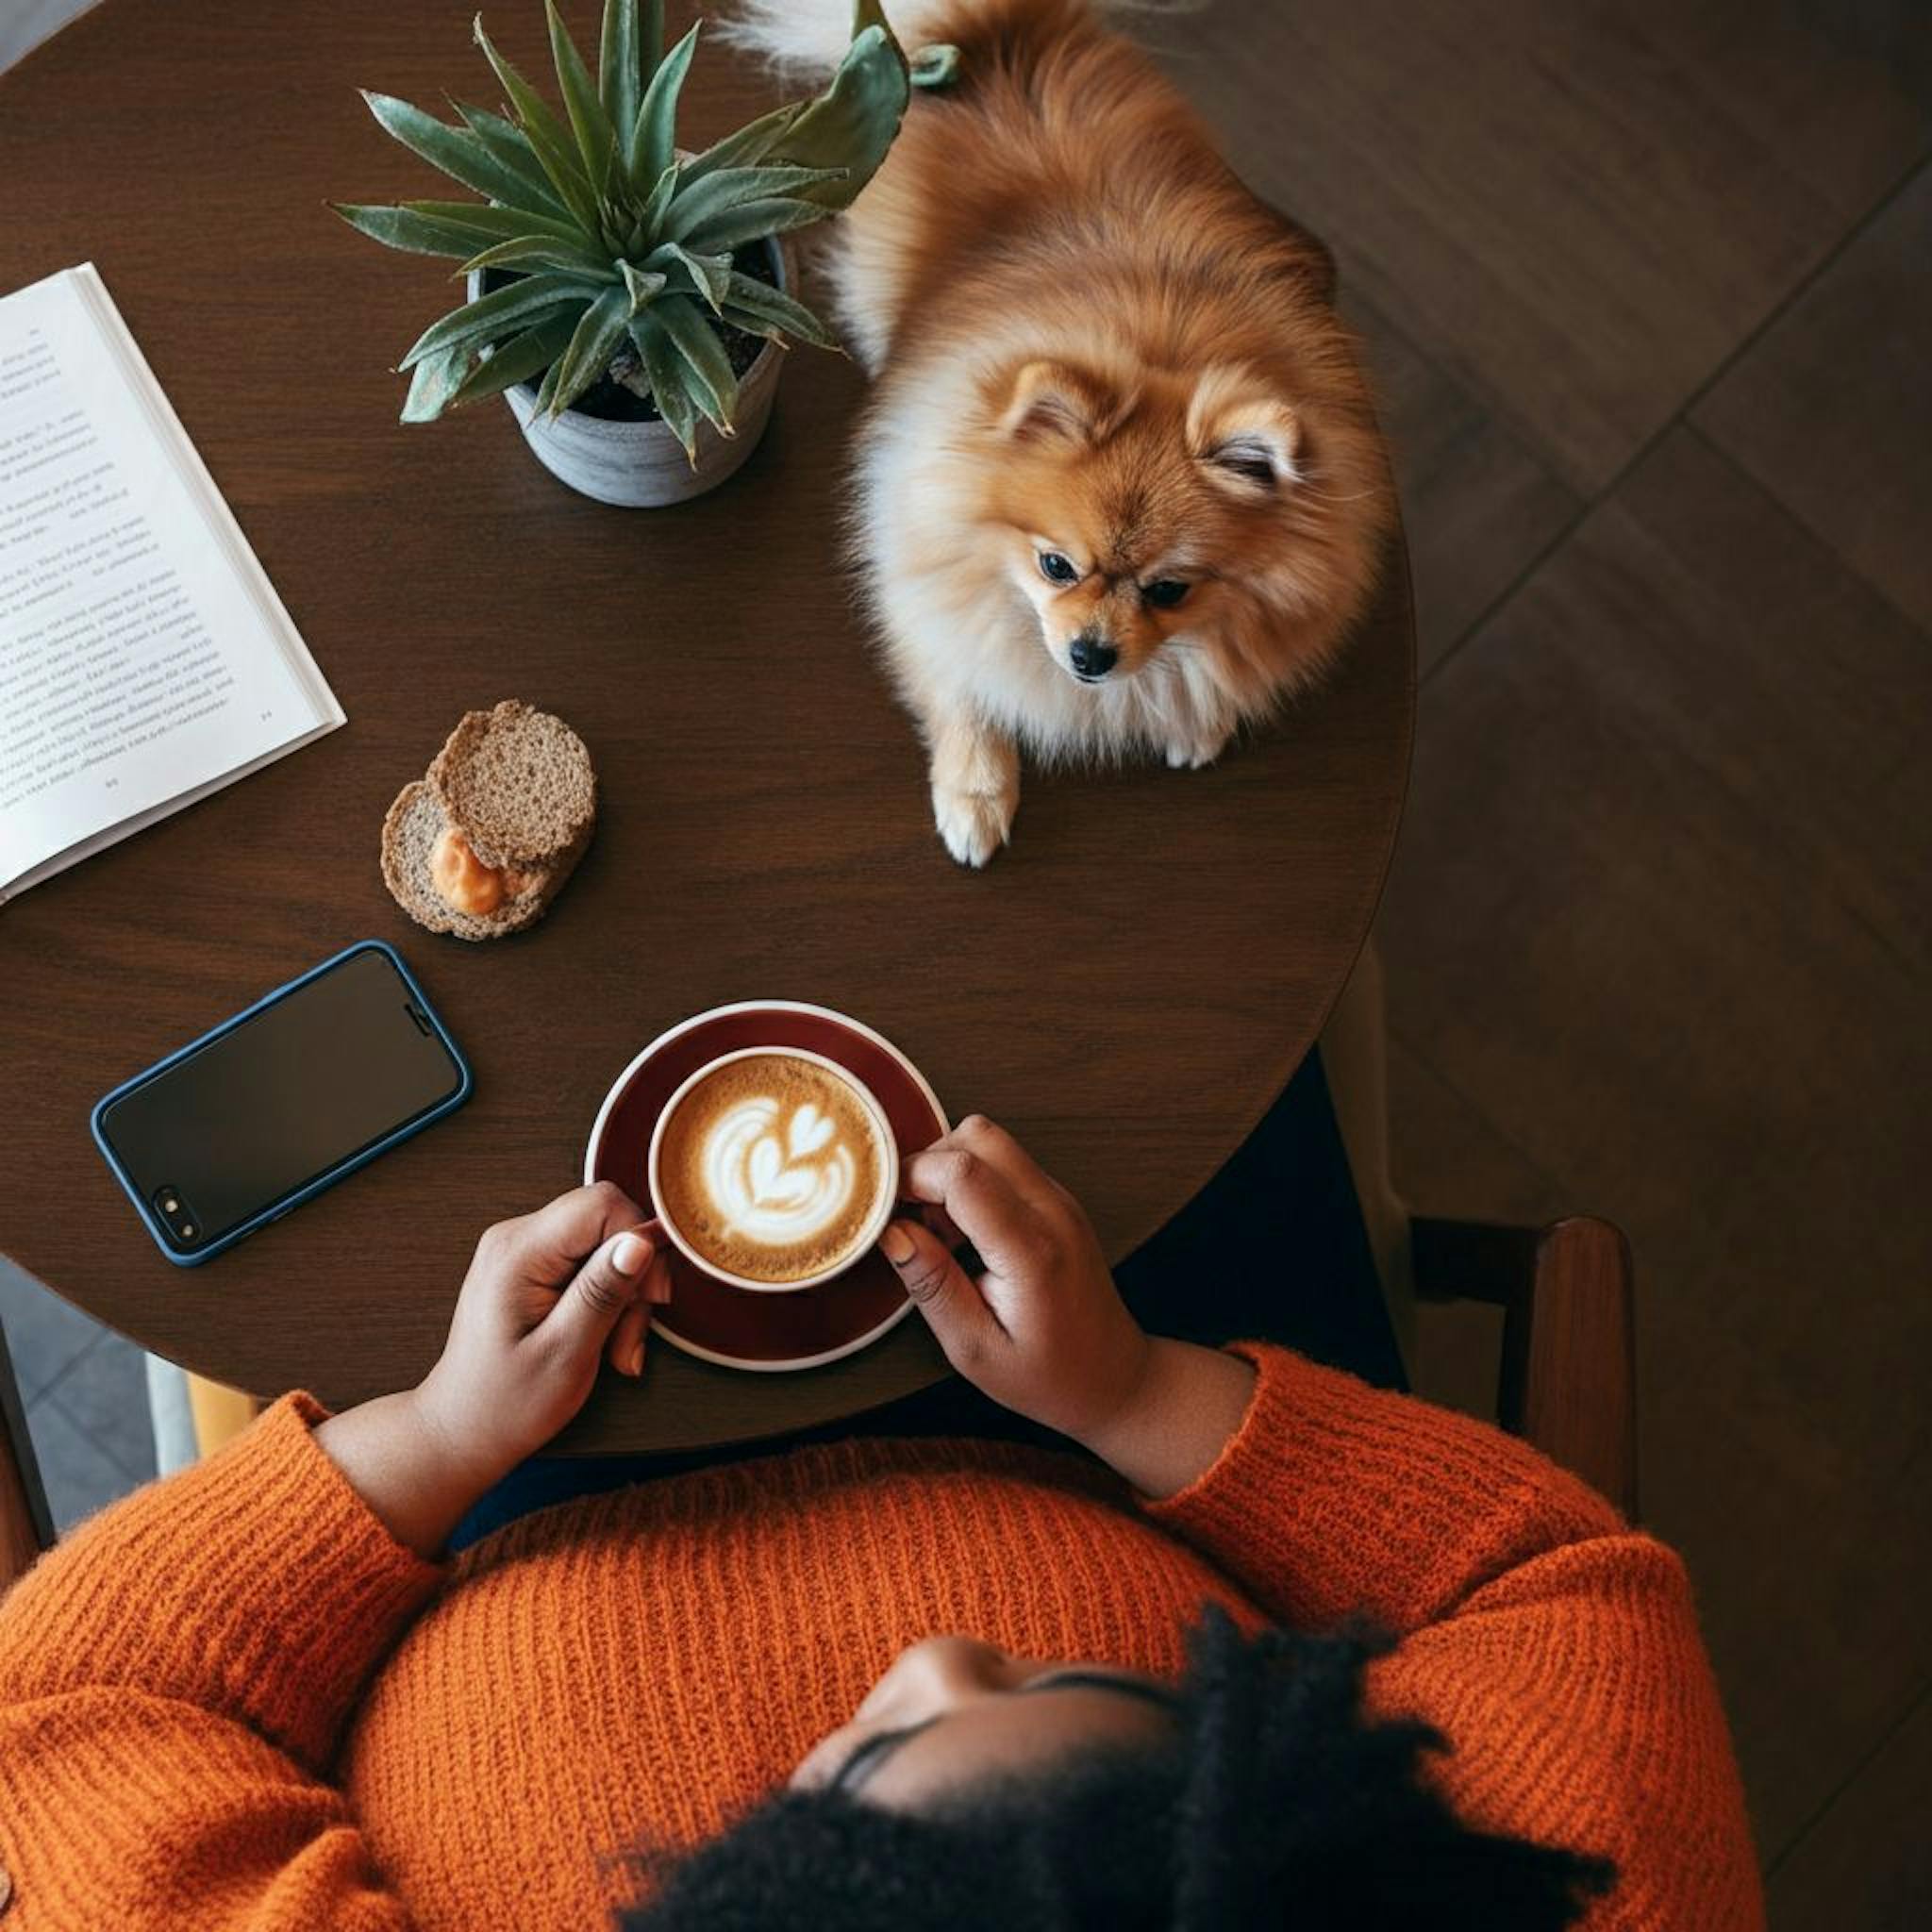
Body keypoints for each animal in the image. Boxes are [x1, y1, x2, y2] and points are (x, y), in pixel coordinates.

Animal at [726, 0, 1391, 865]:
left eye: (1171, 590)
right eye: (1055, 566)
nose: (1091, 654)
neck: (1160, 344)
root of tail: (998, 33)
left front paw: (1200, 716)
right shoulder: (919, 563)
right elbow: (963, 689)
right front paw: (975, 794)